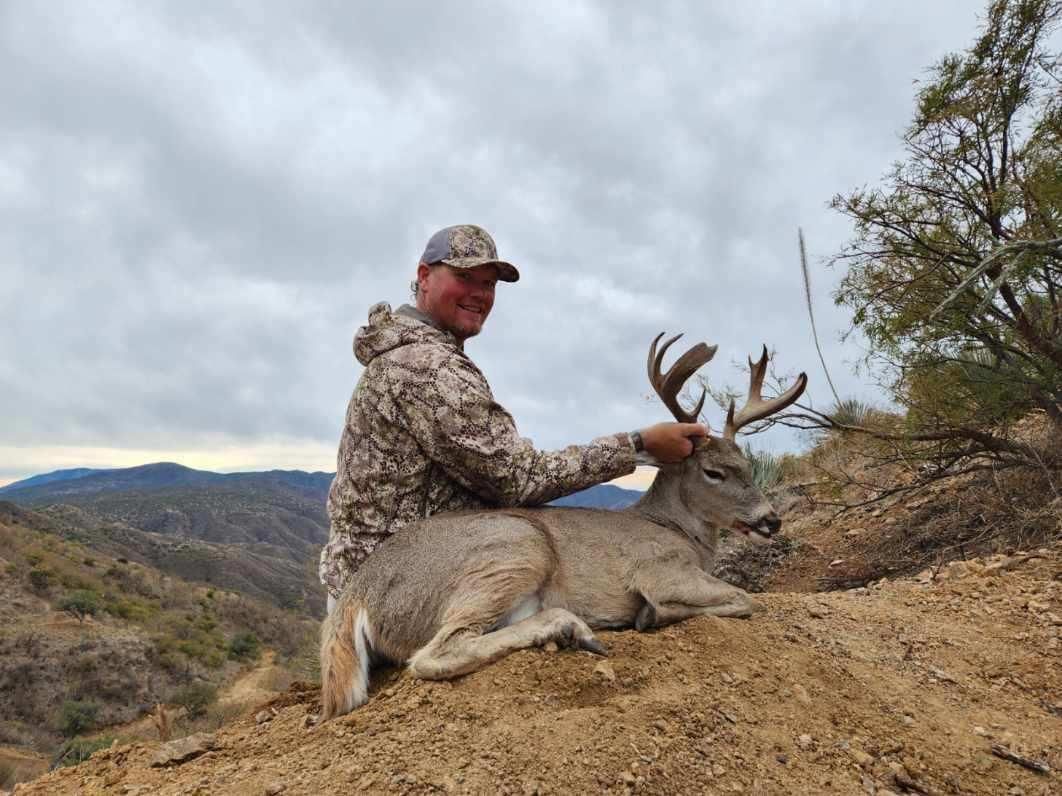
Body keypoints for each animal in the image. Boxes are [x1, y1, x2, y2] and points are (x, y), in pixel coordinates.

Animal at [318, 333, 807, 721]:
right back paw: (571, 628)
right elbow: (745, 599)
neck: (676, 530)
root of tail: (357, 593)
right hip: (515, 547)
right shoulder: (659, 570)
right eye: (714, 472)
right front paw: (651, 615)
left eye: (748, 465)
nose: (771, 519)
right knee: (434, 654)